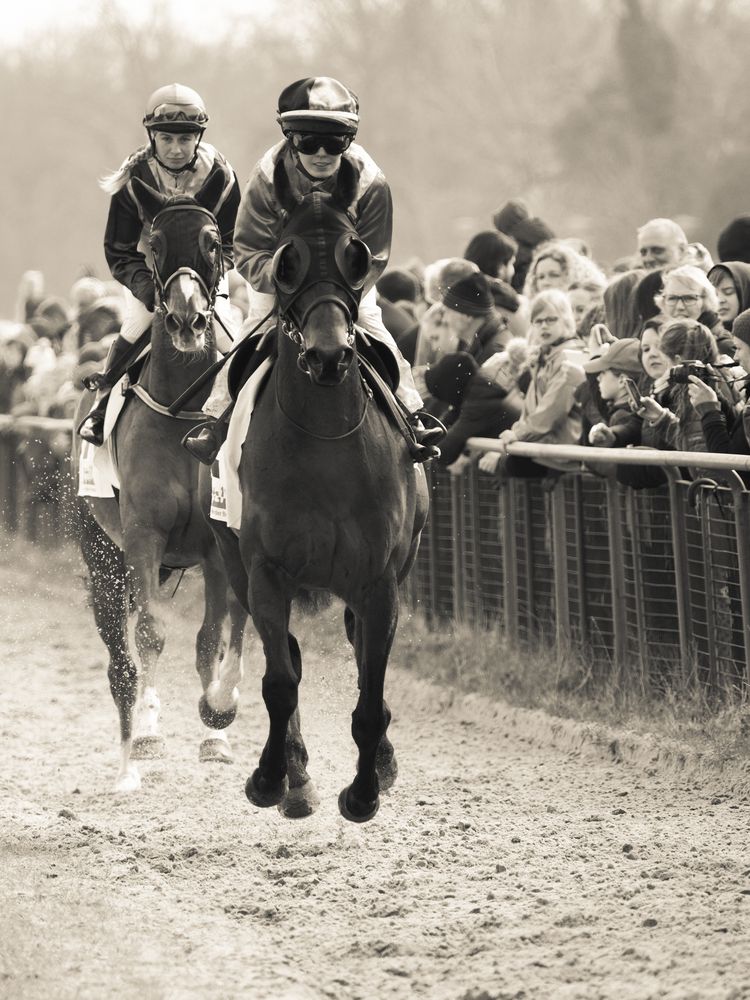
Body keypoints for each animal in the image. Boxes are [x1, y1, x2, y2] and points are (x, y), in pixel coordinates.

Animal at [71, 176, 247, 792]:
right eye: (154, 242)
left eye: (213, 241)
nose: (187, 322)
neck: (183, 409)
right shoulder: (143, 534)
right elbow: (150, 632)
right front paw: (148, 731)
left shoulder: (217, 544)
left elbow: (210, 638)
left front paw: (217, 732)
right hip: (100, 551)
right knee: (119, 654)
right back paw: (130, 739)